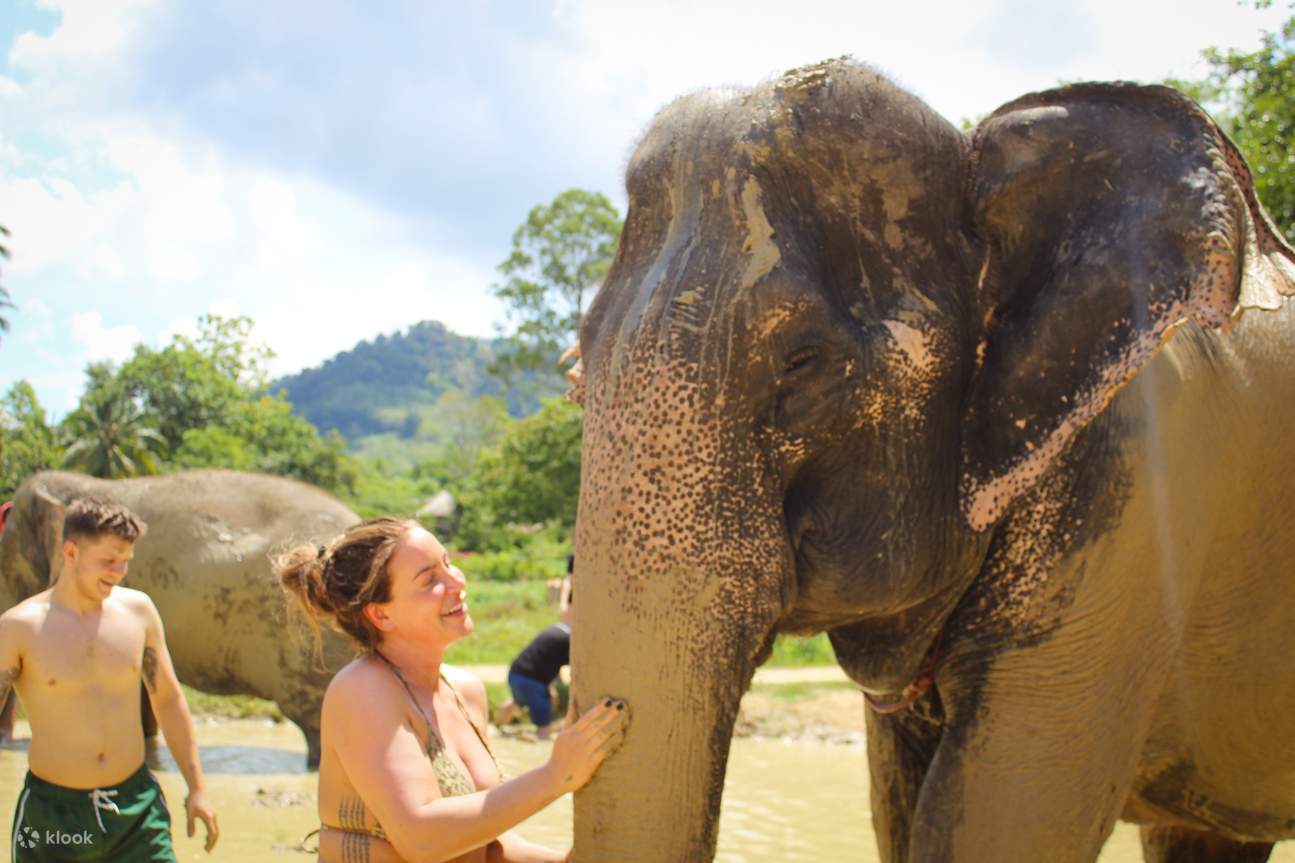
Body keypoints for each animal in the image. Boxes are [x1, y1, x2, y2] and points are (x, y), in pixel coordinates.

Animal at [568, 59, 1295, 862]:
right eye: (578, 364)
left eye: (803, 362)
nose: (602, 717)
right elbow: (898, 806)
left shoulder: (1132, 519)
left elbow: (1003, 821)